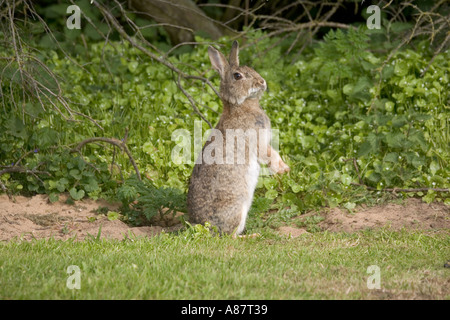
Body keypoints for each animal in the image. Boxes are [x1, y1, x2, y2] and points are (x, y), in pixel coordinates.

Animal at [187, 40, 290, 235]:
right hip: (237, 207)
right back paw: (252, 236)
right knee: (230, 236)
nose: (262, 82)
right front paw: (281, 170)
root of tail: (206, 227)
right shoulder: (257, 142)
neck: (241, 106)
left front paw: (285, 169)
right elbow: (269, 154)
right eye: (237, 76)